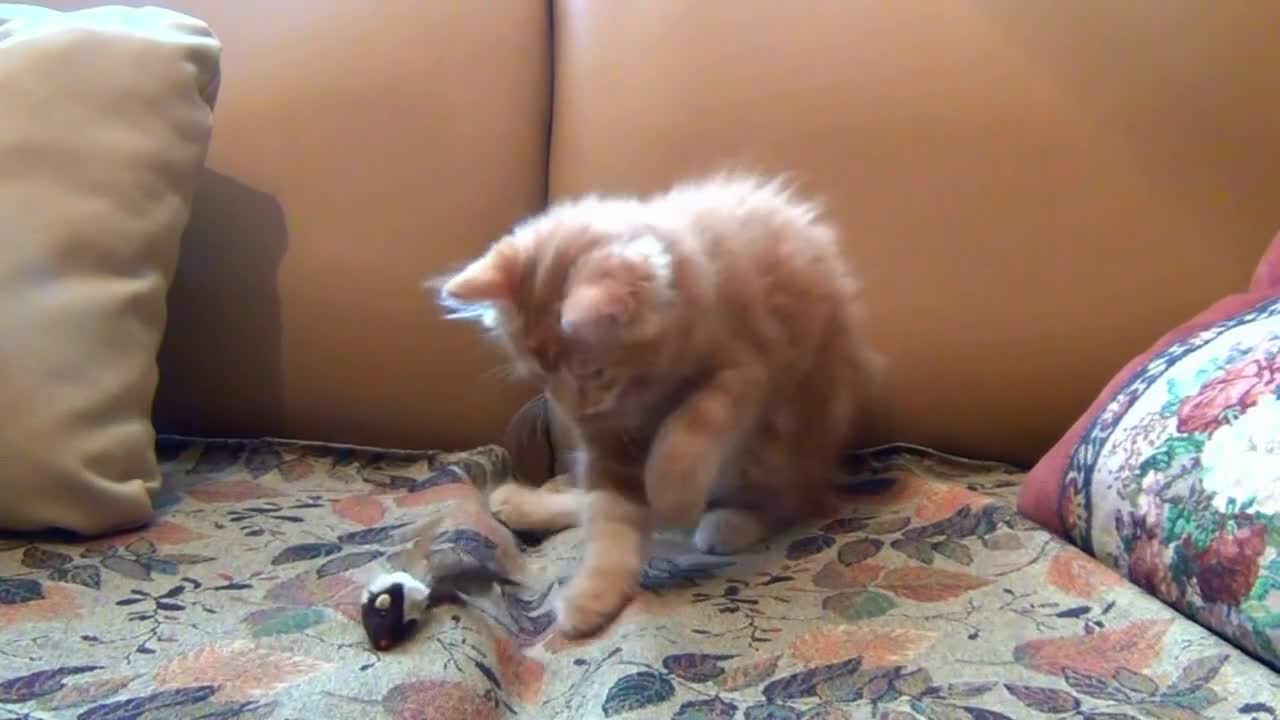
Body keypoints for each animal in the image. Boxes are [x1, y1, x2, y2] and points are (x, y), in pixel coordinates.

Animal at [437, 172, 880, 632]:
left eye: (593, 374)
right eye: (542, 377)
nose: (574, 410)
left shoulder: (746, 369)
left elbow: (691, 424)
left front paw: (672, 492)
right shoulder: (608, 447)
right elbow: (608, 518)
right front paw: (594, 594)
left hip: (783, 438)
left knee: (787, 501)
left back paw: (729, 522)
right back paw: (522, 504)